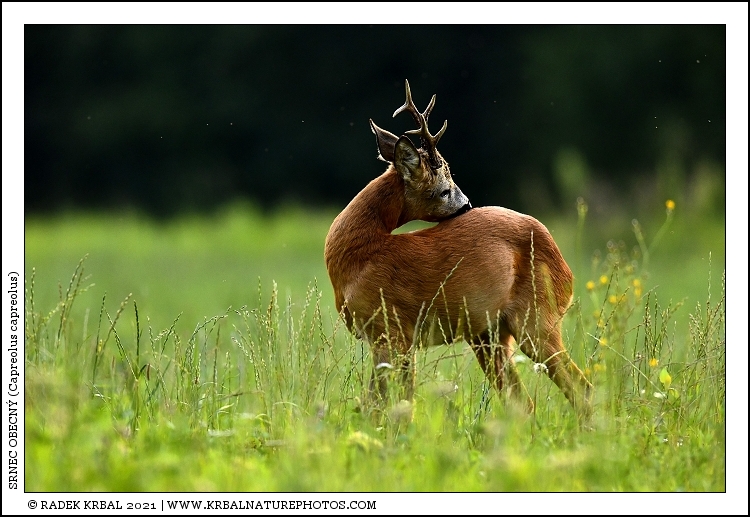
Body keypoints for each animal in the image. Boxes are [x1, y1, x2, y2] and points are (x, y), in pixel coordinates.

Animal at [324, 80, 592, 419]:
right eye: (443, 189)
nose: (467, 206)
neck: (358, 258)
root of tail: (563, 264)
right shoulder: (389, 338)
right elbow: (384, 403)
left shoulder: (393, 330)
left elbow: (390, 405)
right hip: (489, 335)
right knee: (524, 402)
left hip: (537, 317)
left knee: (581, 388)